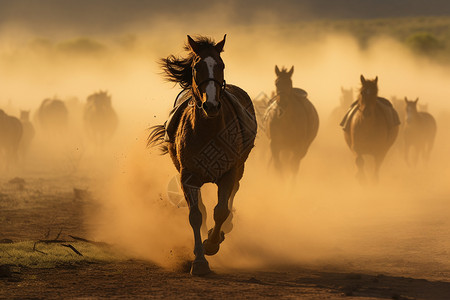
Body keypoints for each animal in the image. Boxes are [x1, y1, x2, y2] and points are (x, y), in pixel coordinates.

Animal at [148, 34, 256, 274]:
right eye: (197, 66)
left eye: (221, 65)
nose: (211, 105)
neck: (209, 130)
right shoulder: (188, 177)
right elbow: (197, 215)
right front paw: (199, 261)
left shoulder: (228, 173)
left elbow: (221, 210)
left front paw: (212, 244)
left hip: (240, 168)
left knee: (231, 196)